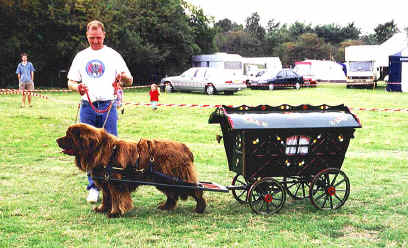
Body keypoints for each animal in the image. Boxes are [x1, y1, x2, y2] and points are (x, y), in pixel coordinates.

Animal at [55, 123, 206, 217]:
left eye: (69, 136)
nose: (56, 140)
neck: (100, 150)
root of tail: (186, 148)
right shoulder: (106, 183)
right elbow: (107, 197)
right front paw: (102, 209)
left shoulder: (115, 183)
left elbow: (117, 198)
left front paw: (115, 213)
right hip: (164, 180)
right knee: (172, 194)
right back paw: (166, 206)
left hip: (177, 178)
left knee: (197, 190)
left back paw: (200, 208)